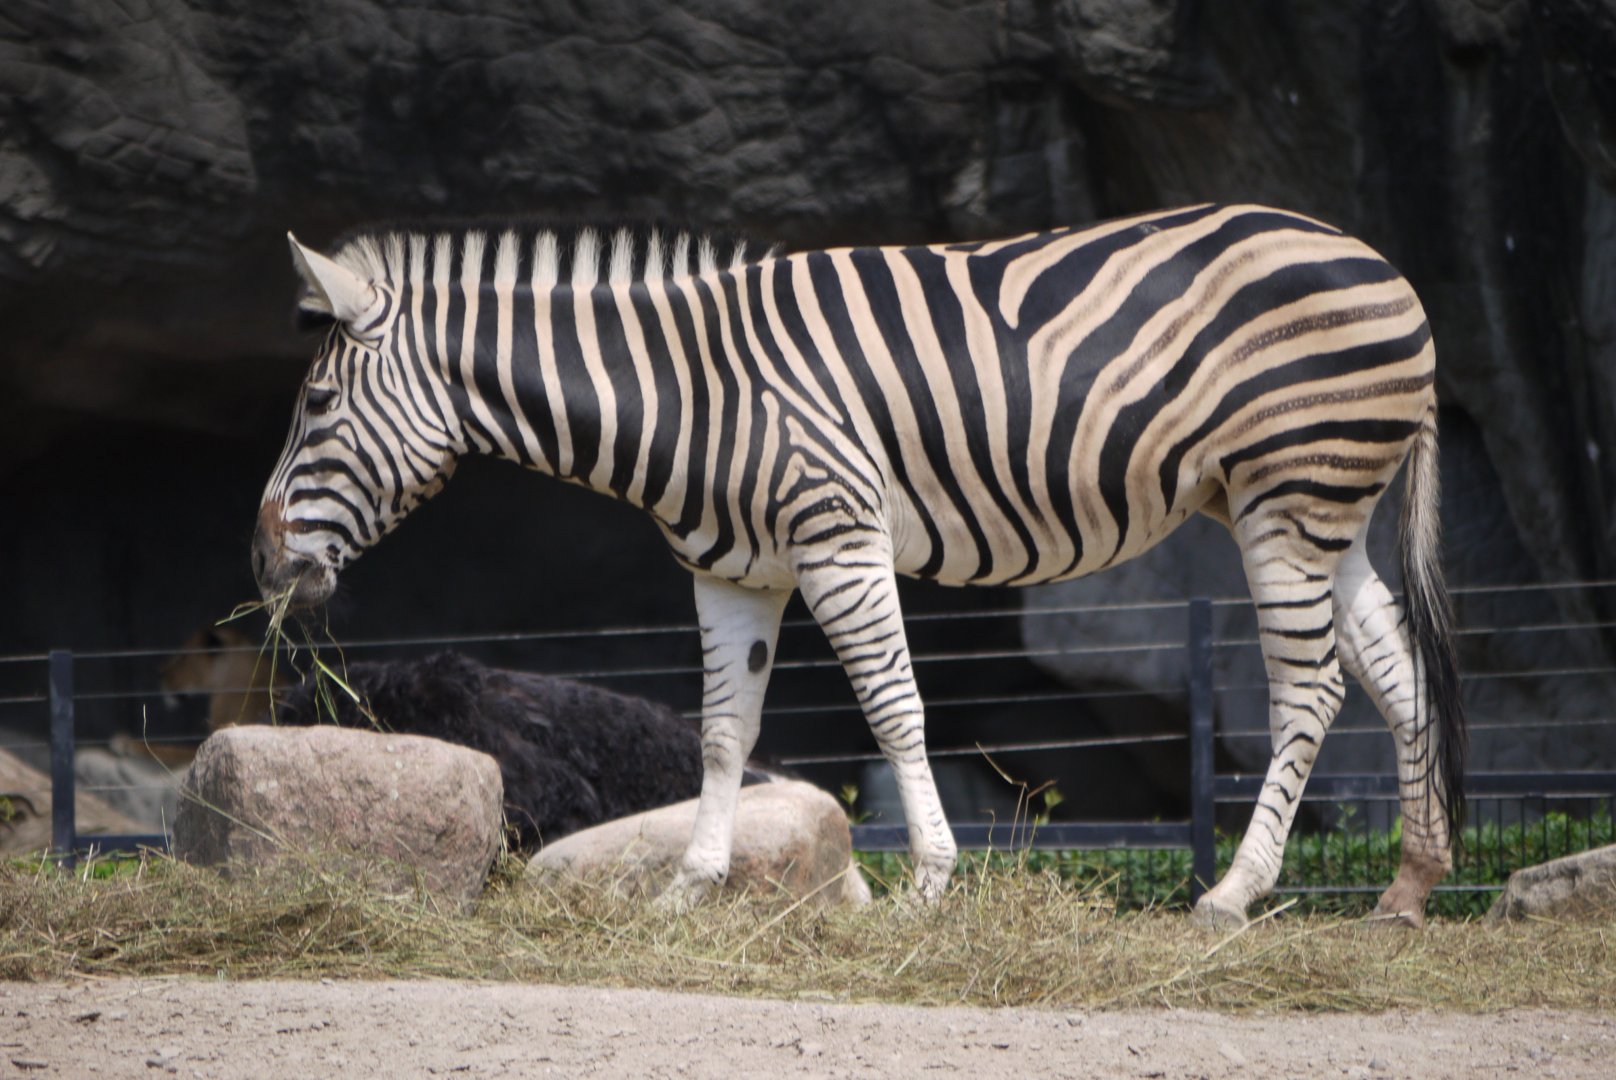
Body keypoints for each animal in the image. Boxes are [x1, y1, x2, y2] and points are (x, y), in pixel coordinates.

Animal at [252, 203, 1465, 928]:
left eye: (316, 406)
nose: (260, 559)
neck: (694, 397)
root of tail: (1390, 273)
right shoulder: (733, 572)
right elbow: (723, 731)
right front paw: (690, 888)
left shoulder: (838, 535)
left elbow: (892, 708)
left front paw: (925, 881)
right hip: (1327, 509)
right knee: (1396, 673)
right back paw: (1409, 888)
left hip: (1287, 493)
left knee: (1310, 686)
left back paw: (1231, 895)